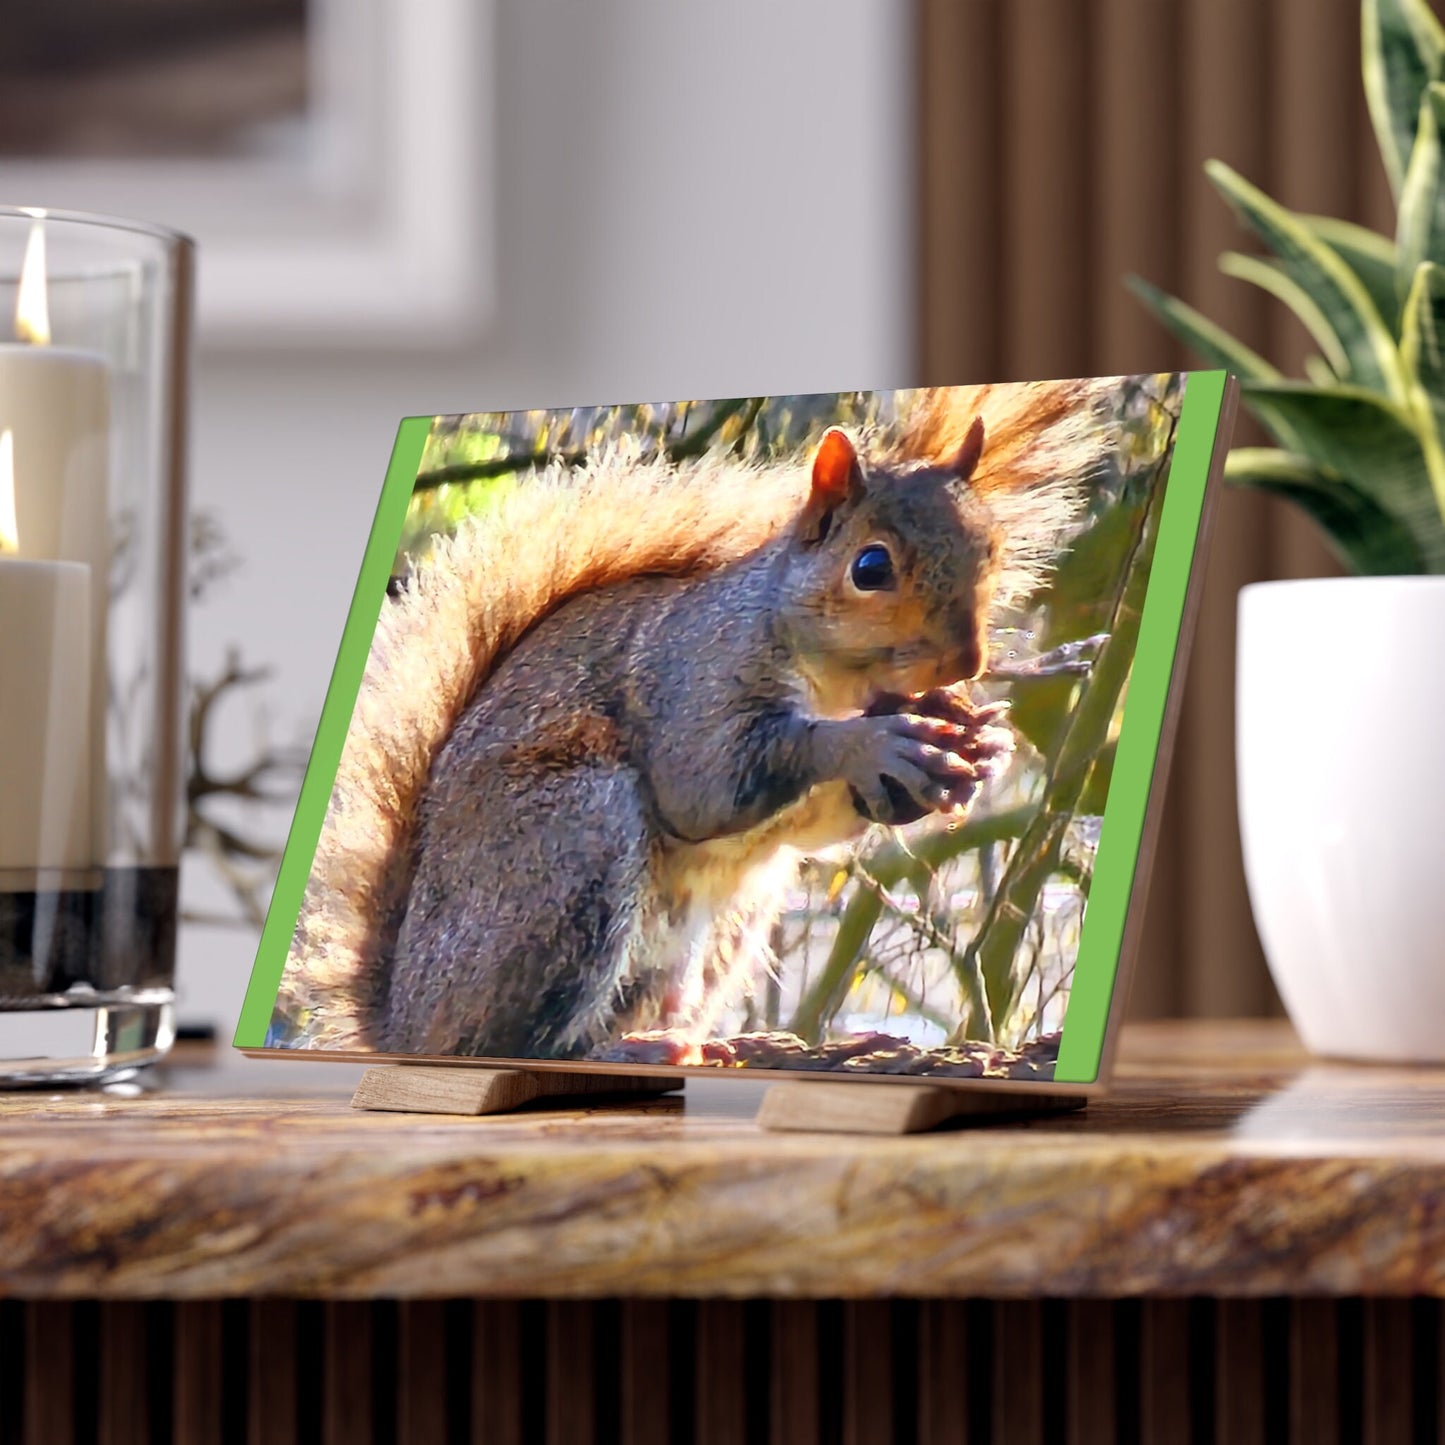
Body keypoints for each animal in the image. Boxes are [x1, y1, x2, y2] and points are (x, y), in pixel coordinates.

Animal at [277, 381, 1111, 1057]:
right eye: (869, 567)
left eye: (991, 547)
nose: (965, 662)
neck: (836, 679)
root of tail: (405, 1021)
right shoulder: (696, 681)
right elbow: (708, 784)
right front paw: (871, 744)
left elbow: (823, 824)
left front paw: (979, 744)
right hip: (569, 842)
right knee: (505, 1041)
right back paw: (615, 1049)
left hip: (722, 925)